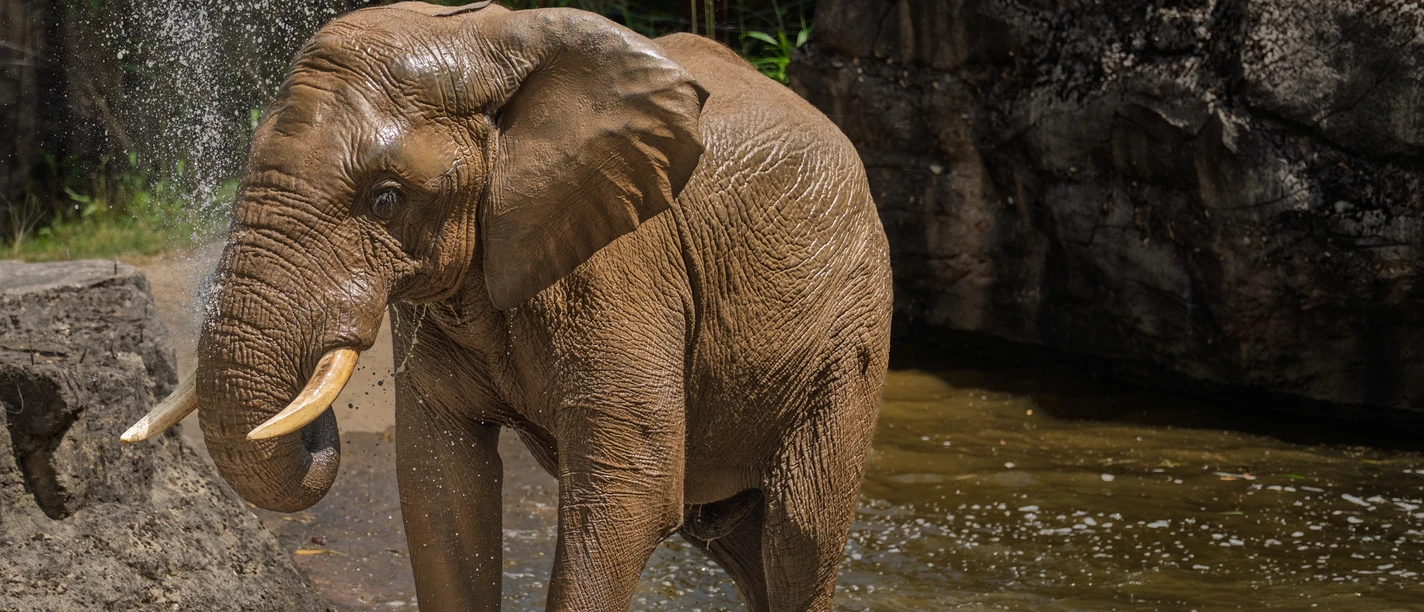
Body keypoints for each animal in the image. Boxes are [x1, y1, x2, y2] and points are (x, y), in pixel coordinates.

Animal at [123, 2, 892, 610]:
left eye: (385, 199)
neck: (482, 40)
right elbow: (442, 482)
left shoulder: (626, 266)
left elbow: (632, 495)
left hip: (850, 330)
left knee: (798, 537)